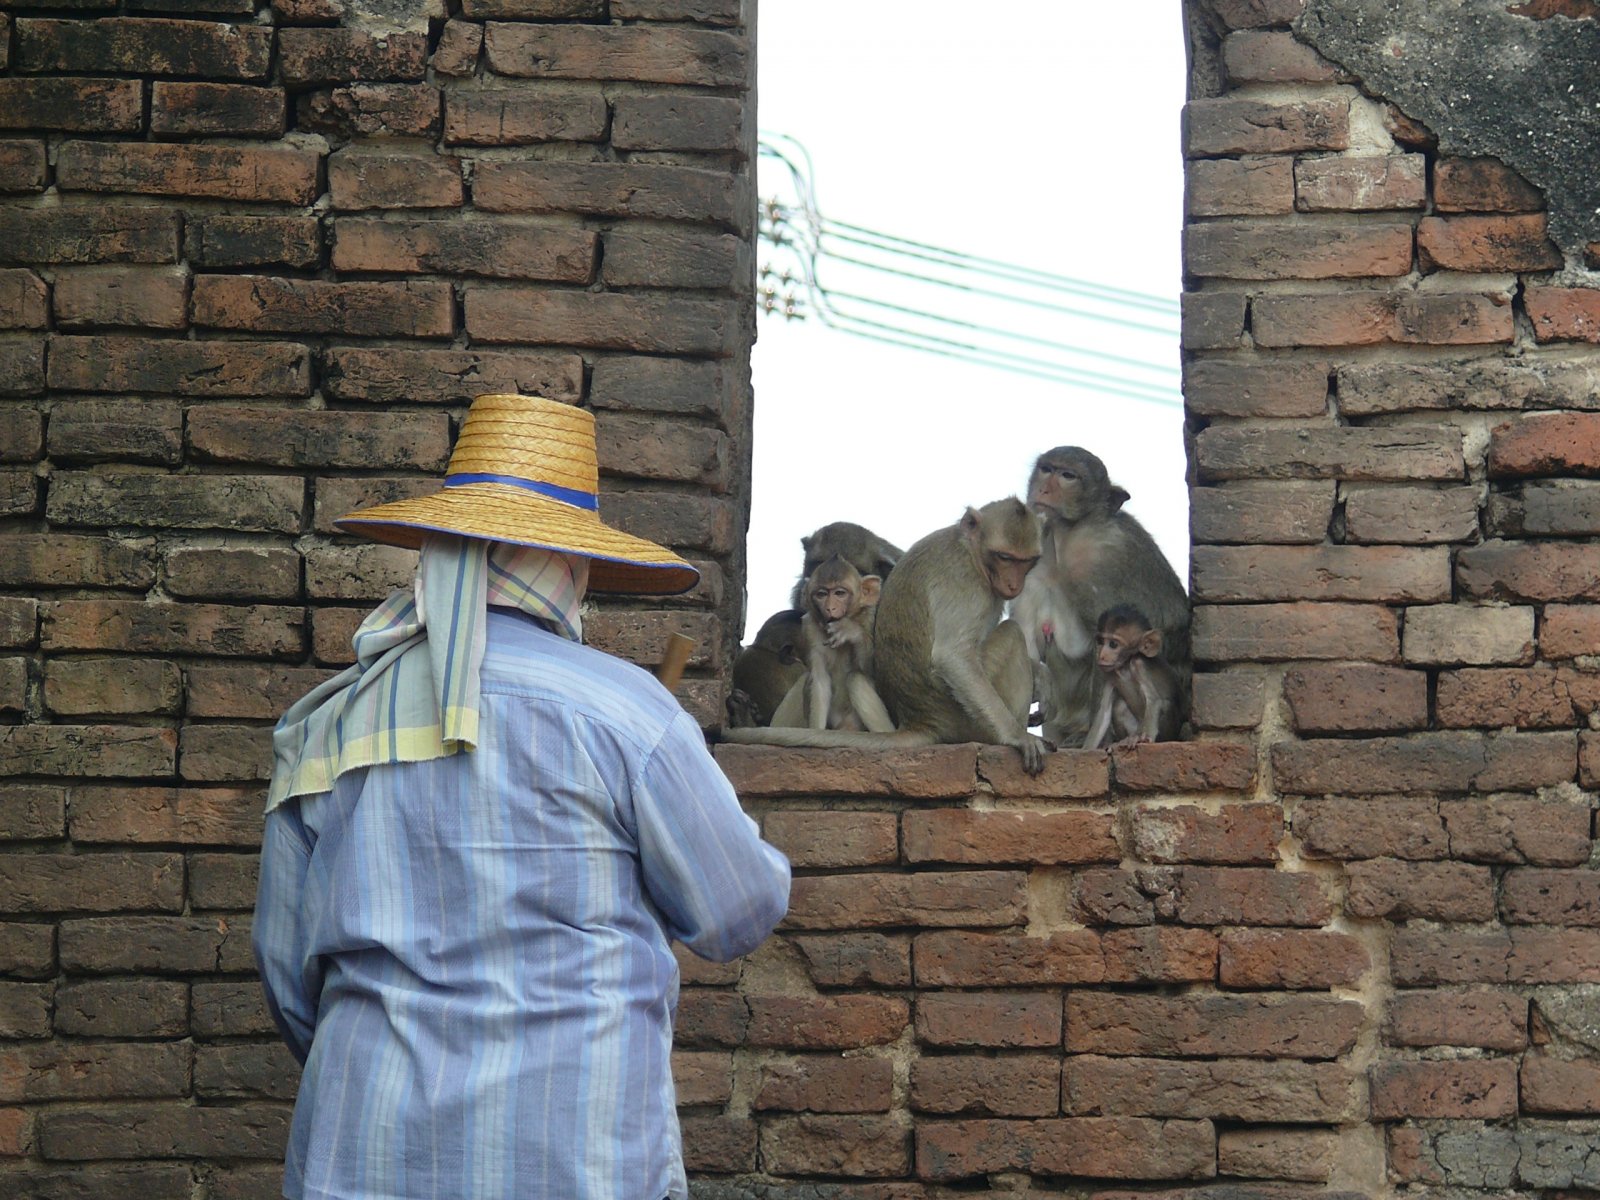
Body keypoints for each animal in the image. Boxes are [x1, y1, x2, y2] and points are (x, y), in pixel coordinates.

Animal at [771, 553, 902, 732]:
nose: (830, 608)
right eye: (821, 594)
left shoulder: (871, 617)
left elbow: (883, 675)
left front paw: (850, 630)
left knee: (855, 679)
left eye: (840, 593)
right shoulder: (809, 629)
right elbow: (820, 682)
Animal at [1081, 604, 1184, 748]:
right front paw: (1085, 749)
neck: (1124, 667)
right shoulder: (1109, 673)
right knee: (1120, 707)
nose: (1101, 655)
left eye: (1113, 644)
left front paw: (1145, 738)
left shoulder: (1139, 664)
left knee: (1166, 705)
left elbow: (1155, 701)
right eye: (1101, 641)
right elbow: (1104, 711)